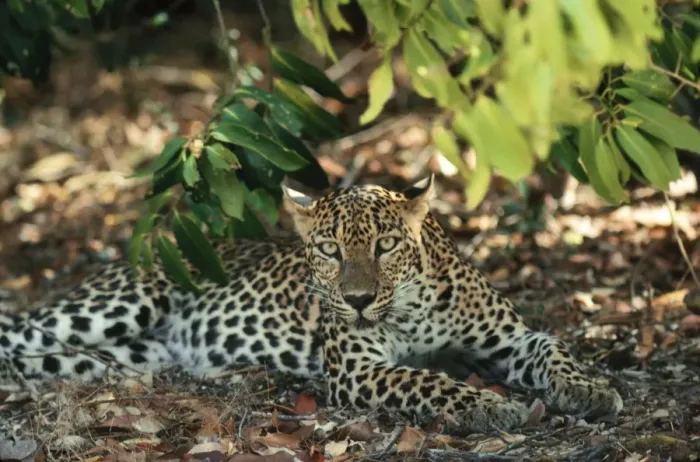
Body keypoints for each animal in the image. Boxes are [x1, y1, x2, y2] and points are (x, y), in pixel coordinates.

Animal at [0, 176, 623, 432]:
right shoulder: (357, 369)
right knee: (18, 332)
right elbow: (427, 380)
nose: (359, 300)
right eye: (328, 250)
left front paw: (588, 390)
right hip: (118, 304)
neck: (413, 304)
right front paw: (486, 406)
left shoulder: (510, 339)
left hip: (116, 355)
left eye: (385, 245)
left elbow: (554, 347)